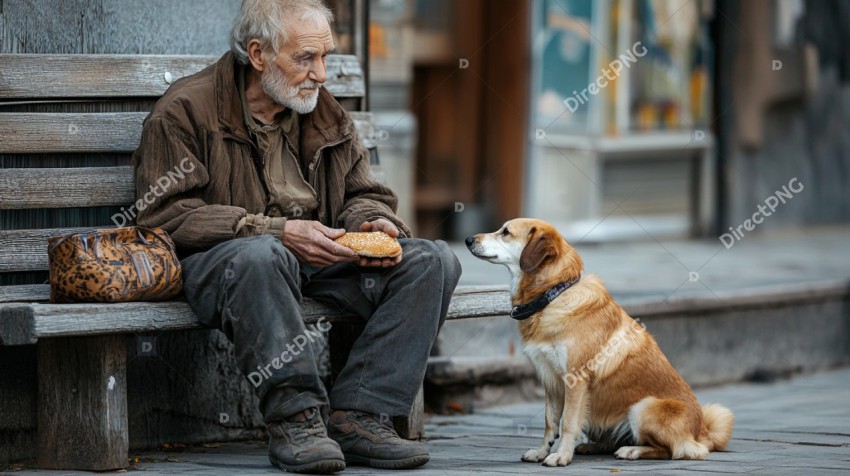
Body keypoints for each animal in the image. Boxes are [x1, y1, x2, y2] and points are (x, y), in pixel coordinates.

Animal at [464, 221, 728, 466]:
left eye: (505, 232)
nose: (467, 239)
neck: (553, 294)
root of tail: (702, 432)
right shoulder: (551, 380)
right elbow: (550, 422)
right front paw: (542, 452)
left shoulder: (575, 380)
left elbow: (568, 422)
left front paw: (561, 456)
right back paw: (593, 446)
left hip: (643, 408)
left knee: (672, 450)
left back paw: (632, 451)